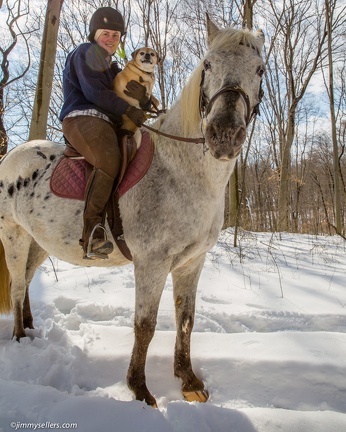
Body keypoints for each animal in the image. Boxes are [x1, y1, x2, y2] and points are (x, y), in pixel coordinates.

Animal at [0, 16, 264, 406]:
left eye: (260, 70)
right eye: (208, 65)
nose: (224, 135)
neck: (182, 170)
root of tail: (12, 155)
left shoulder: (191, 262)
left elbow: (186, 319)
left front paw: (188, 381)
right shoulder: (152, 263)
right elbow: (145, 325)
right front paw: (140, 390)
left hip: (40, 243)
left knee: (28, 281)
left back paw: (31, 329)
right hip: (14, 237)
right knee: (17, 286)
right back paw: (20, 338)